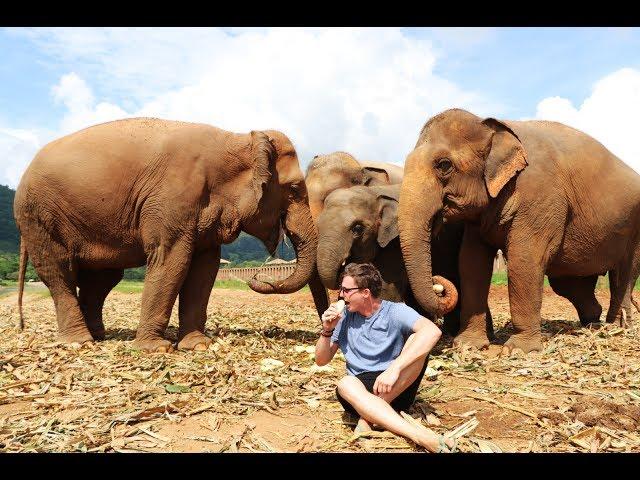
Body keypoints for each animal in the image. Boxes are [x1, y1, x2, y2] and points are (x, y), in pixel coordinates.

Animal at [13, 117, 324, 352]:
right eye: (294, 189)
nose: (260, 276)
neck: (236, 139)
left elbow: (204, 269)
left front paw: (198, 345)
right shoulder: (172, 199)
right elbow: (171, 259)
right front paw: (155, 349)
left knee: (102, 279)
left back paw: (99, 336)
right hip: (38, 217)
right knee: (59, 272)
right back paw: (79, 342)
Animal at [400, 110, 640, 354]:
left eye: (444, 165)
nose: (437, 281)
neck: (491, 127)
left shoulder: (540, 195)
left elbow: (523, 259)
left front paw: (518, 350)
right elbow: (471, 263)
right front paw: (468, 345)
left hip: (634, 229)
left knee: (624, 273)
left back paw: (617, 326)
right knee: (568, 282)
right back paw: (592, 323)